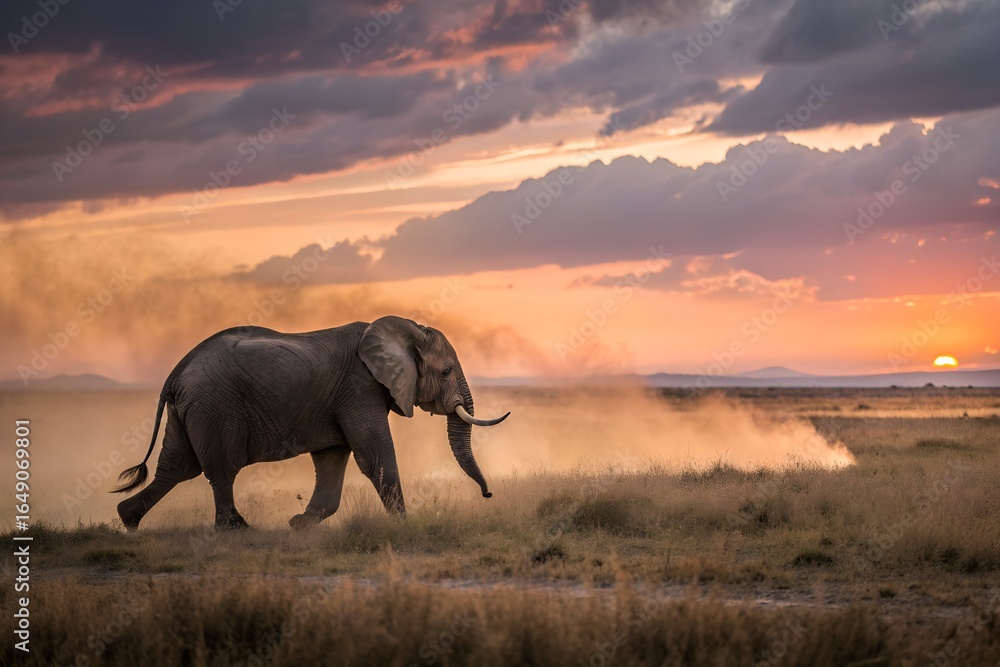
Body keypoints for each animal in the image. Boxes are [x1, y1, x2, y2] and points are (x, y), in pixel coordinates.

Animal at [113, 316, 509, 531]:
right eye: (446, 372)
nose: (488, 495)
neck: (403, 328)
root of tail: (176, 371)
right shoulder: (360, 387)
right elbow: (374, 455)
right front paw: (404, 527)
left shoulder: (341, 398)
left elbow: (333, 458)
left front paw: (296, 525)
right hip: (214, 408)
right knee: (219, 469)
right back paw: (237, 530)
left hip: (191, 409)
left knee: (176, 468)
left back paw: (128, 520)